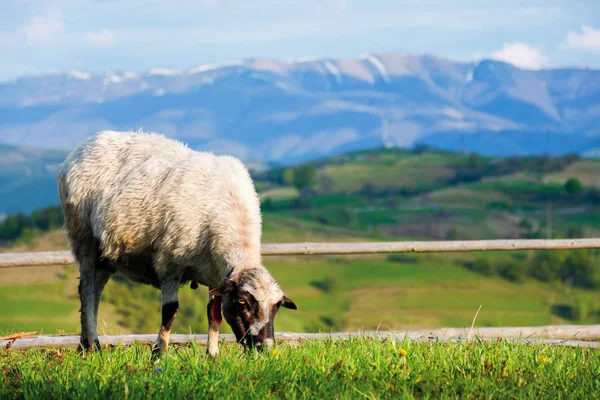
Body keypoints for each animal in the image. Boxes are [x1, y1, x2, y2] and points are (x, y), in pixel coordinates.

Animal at [57, 130, 296, 356]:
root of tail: (83, 146)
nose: (266, 347)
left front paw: (212, 355)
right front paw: (159, 353)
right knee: (86, 291)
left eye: (276, 307)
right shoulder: (170, 263)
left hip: (106, 254)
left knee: (96, 292)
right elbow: (170, 311)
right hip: (83, 237)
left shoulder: (214, 274)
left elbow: (213, 314)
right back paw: (93, 345)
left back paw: (86, 344)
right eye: (243, 303)